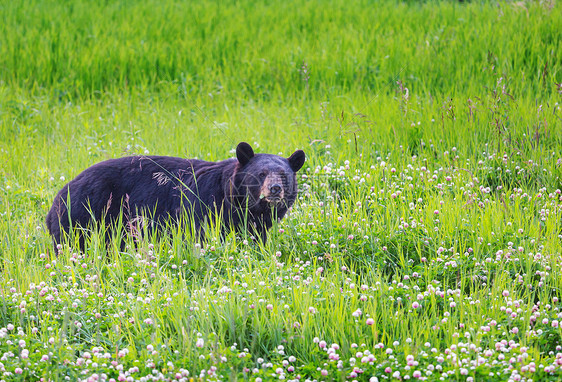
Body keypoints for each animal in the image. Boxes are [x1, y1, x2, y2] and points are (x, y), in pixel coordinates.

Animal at [46, 142, 304, 252]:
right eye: (261, 174)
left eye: (283, 175)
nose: (275, 189)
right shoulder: (203, 207)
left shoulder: (255, 224)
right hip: (83, 215)